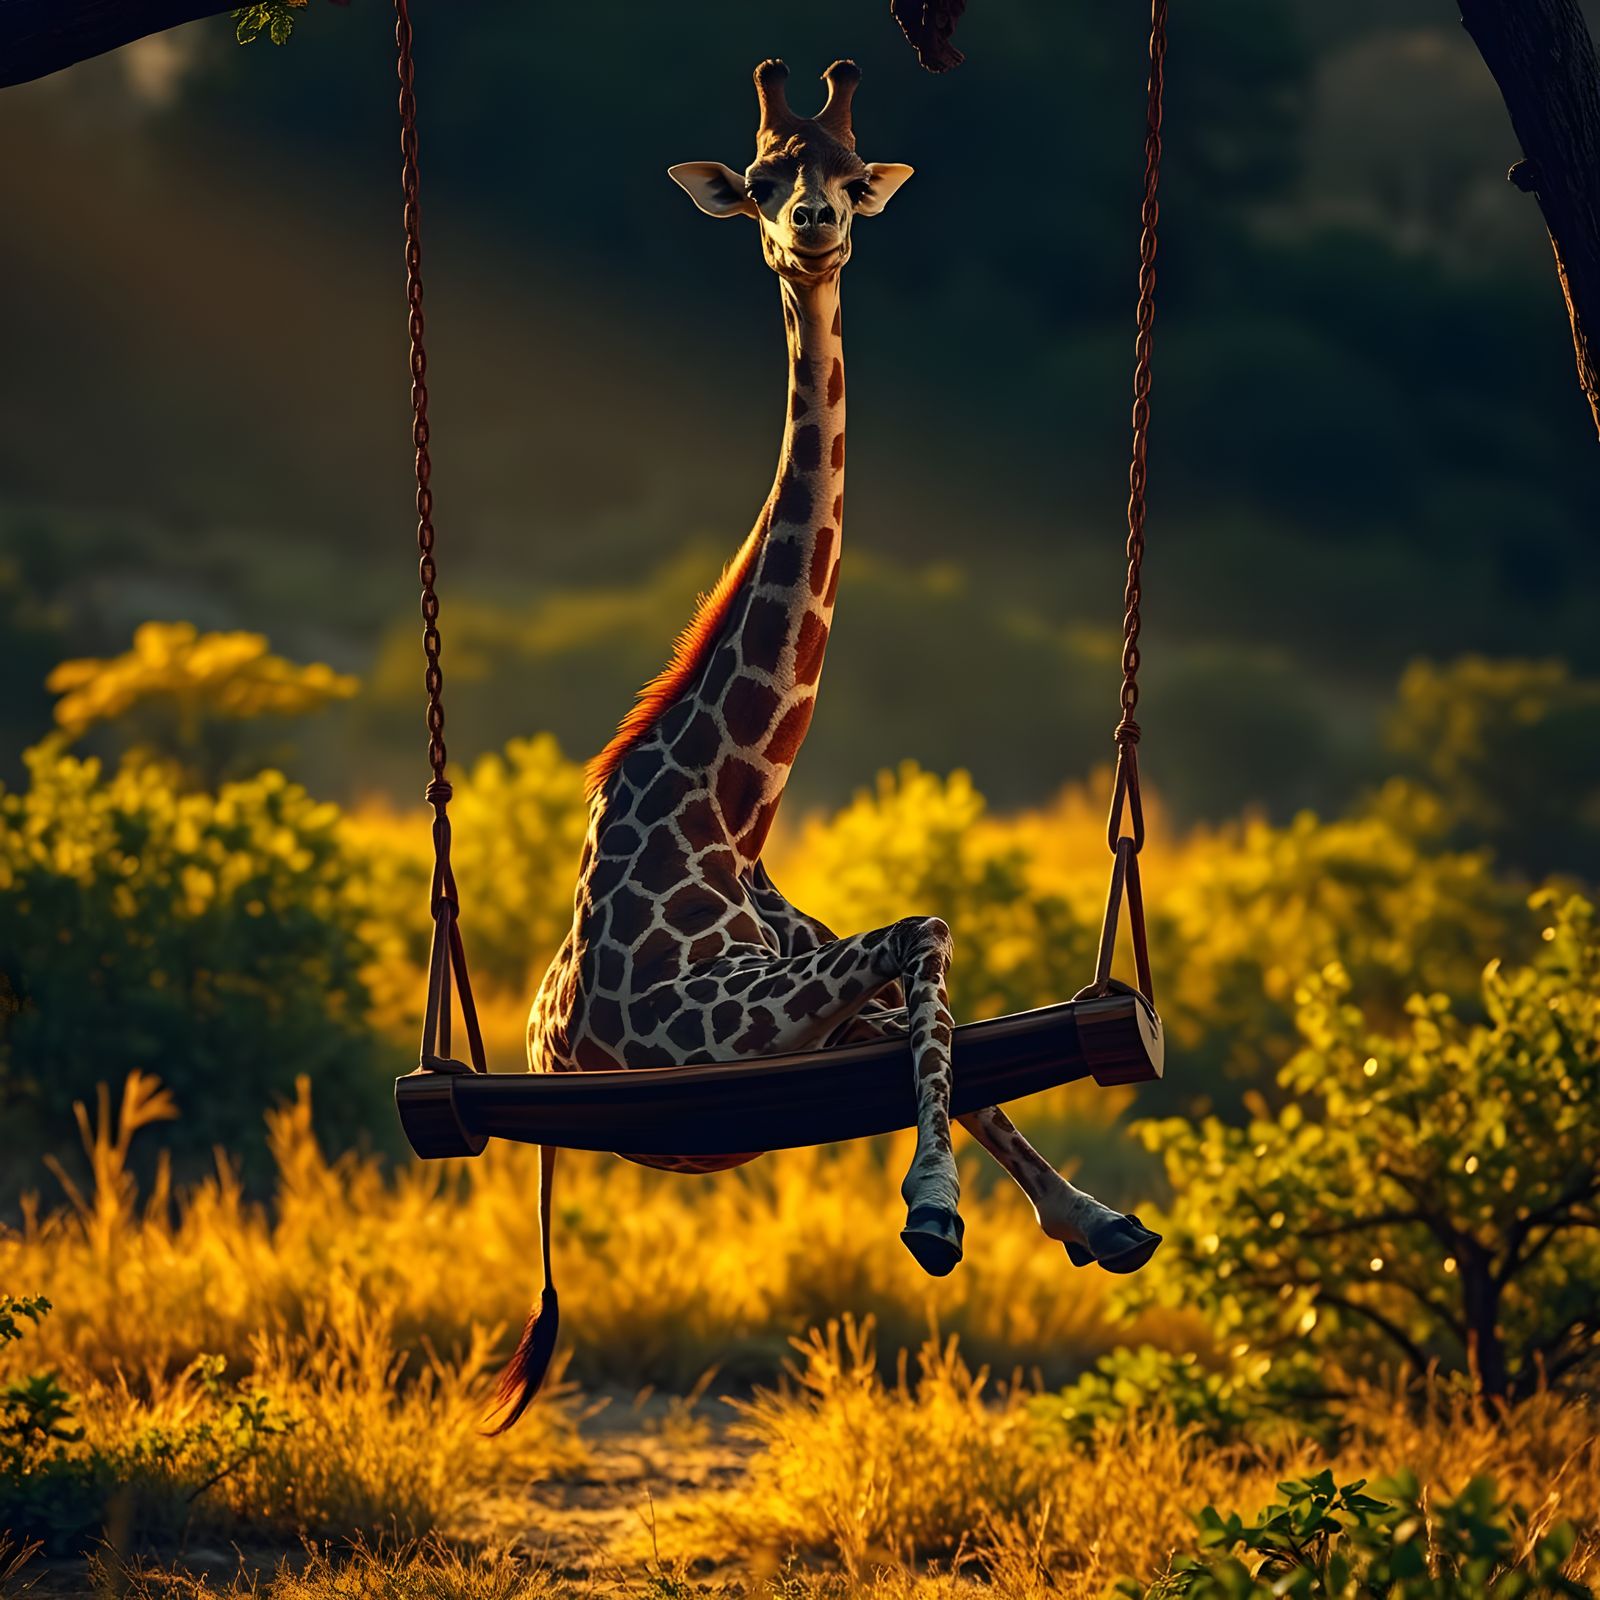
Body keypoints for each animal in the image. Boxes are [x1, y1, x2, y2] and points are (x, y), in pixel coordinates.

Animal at [489, 58, 1160, 1433]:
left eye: (851, 177)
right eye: (759, 180)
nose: (812, 231)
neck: (723, 809)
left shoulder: (795, 992)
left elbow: (936, 997)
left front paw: (1033, 1212)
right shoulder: (713, 1030)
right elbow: (929, 935)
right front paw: (934, 1213)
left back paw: (1097, 1220)